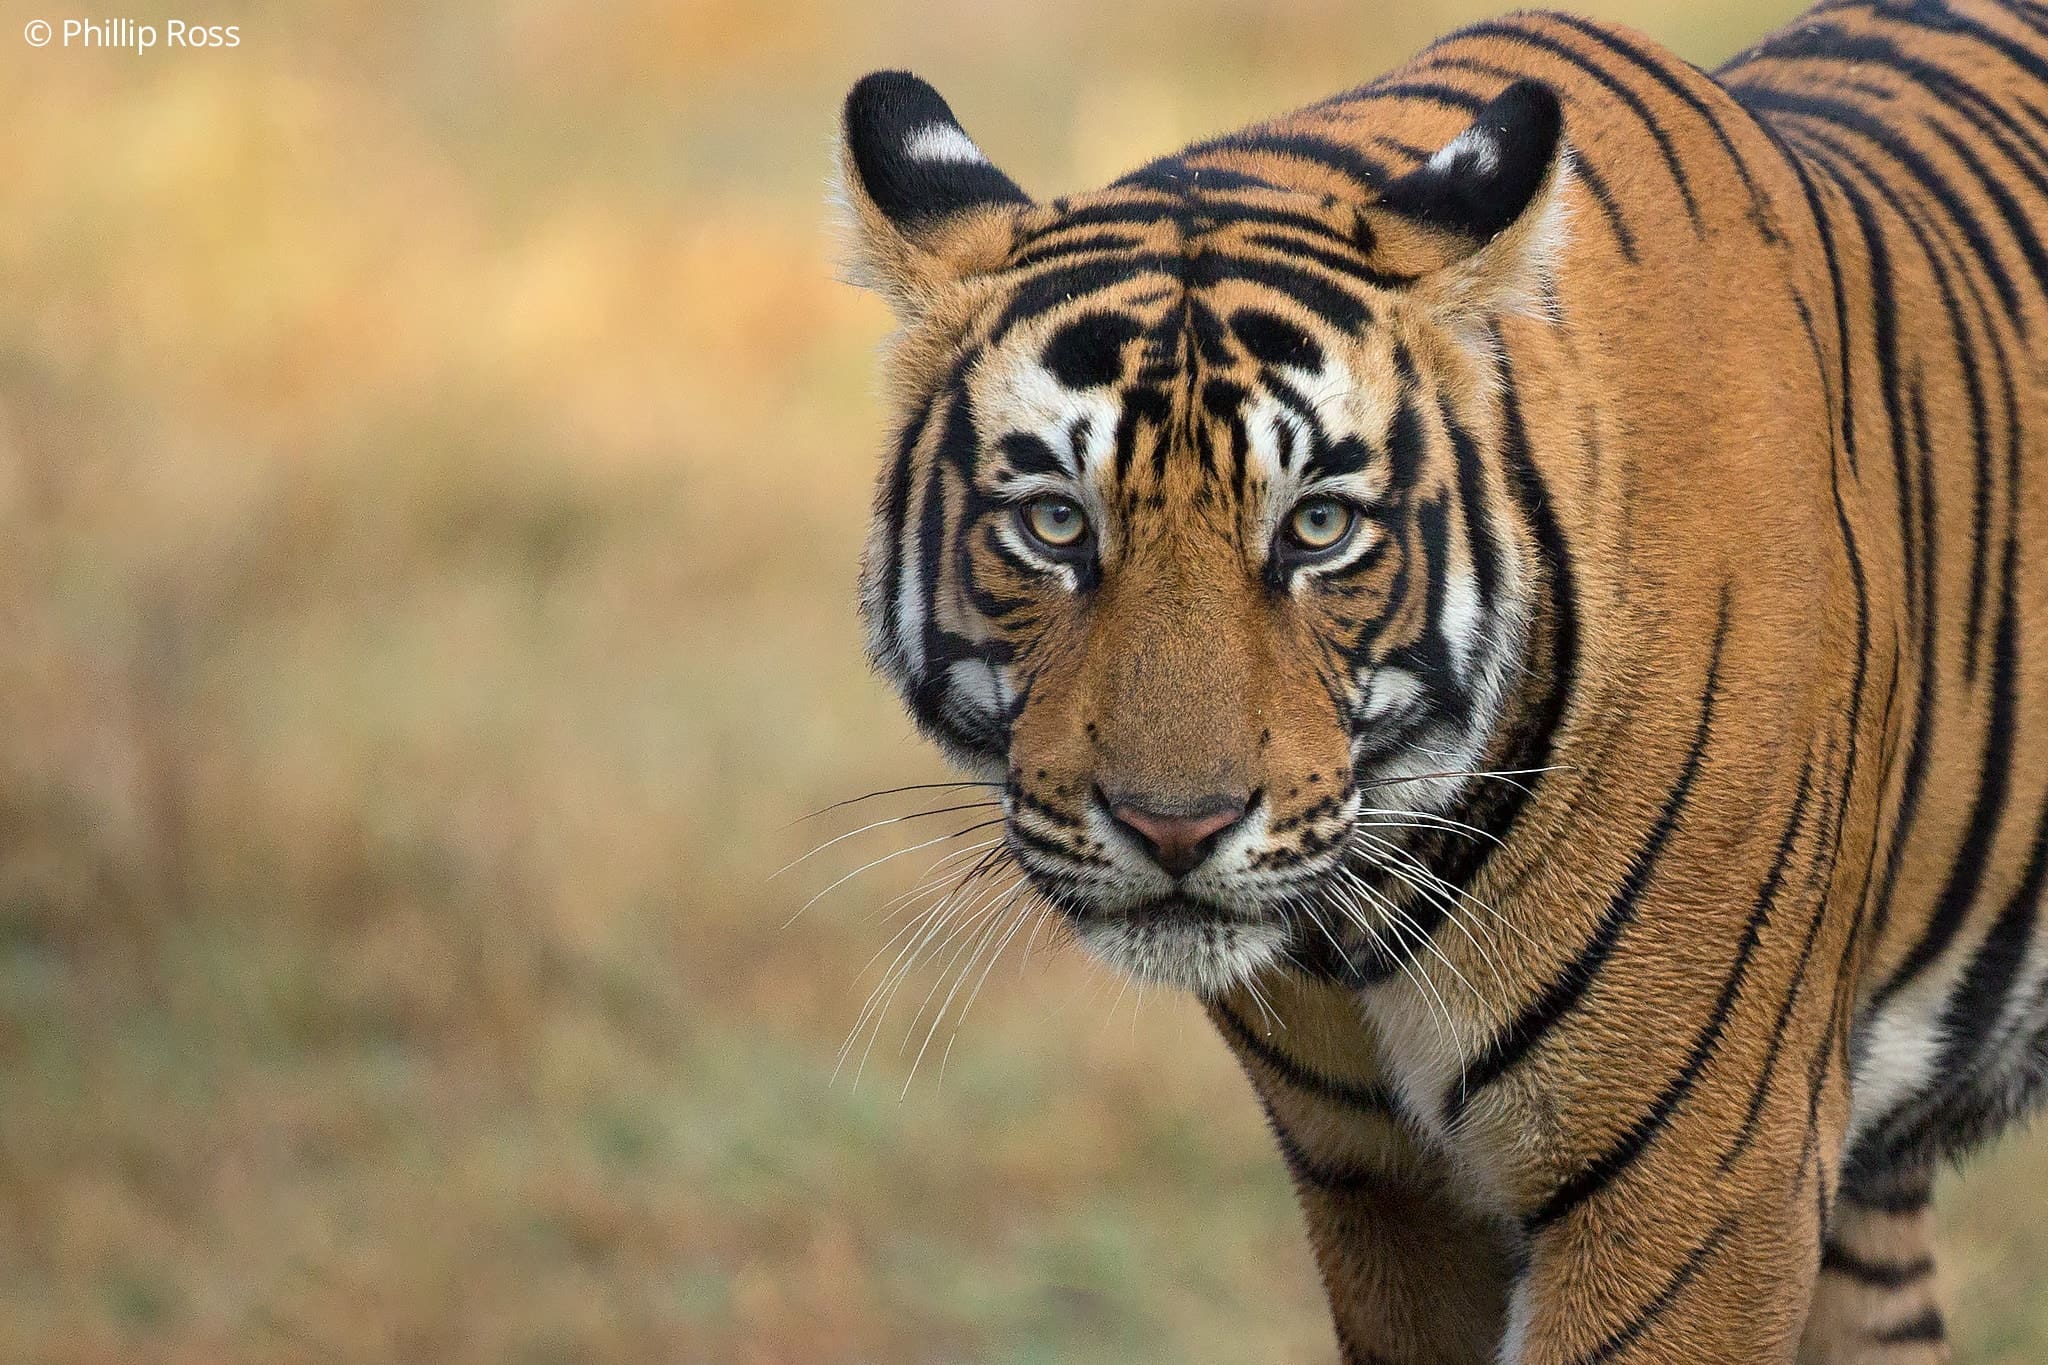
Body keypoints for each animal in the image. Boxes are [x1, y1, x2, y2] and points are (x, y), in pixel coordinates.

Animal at [831, 0, 2048, 1358]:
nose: (1173, 828)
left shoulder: (1698, 1195)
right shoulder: (1379, 1190)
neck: (1365, 926)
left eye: (1316, 528)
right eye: (1053, 523)